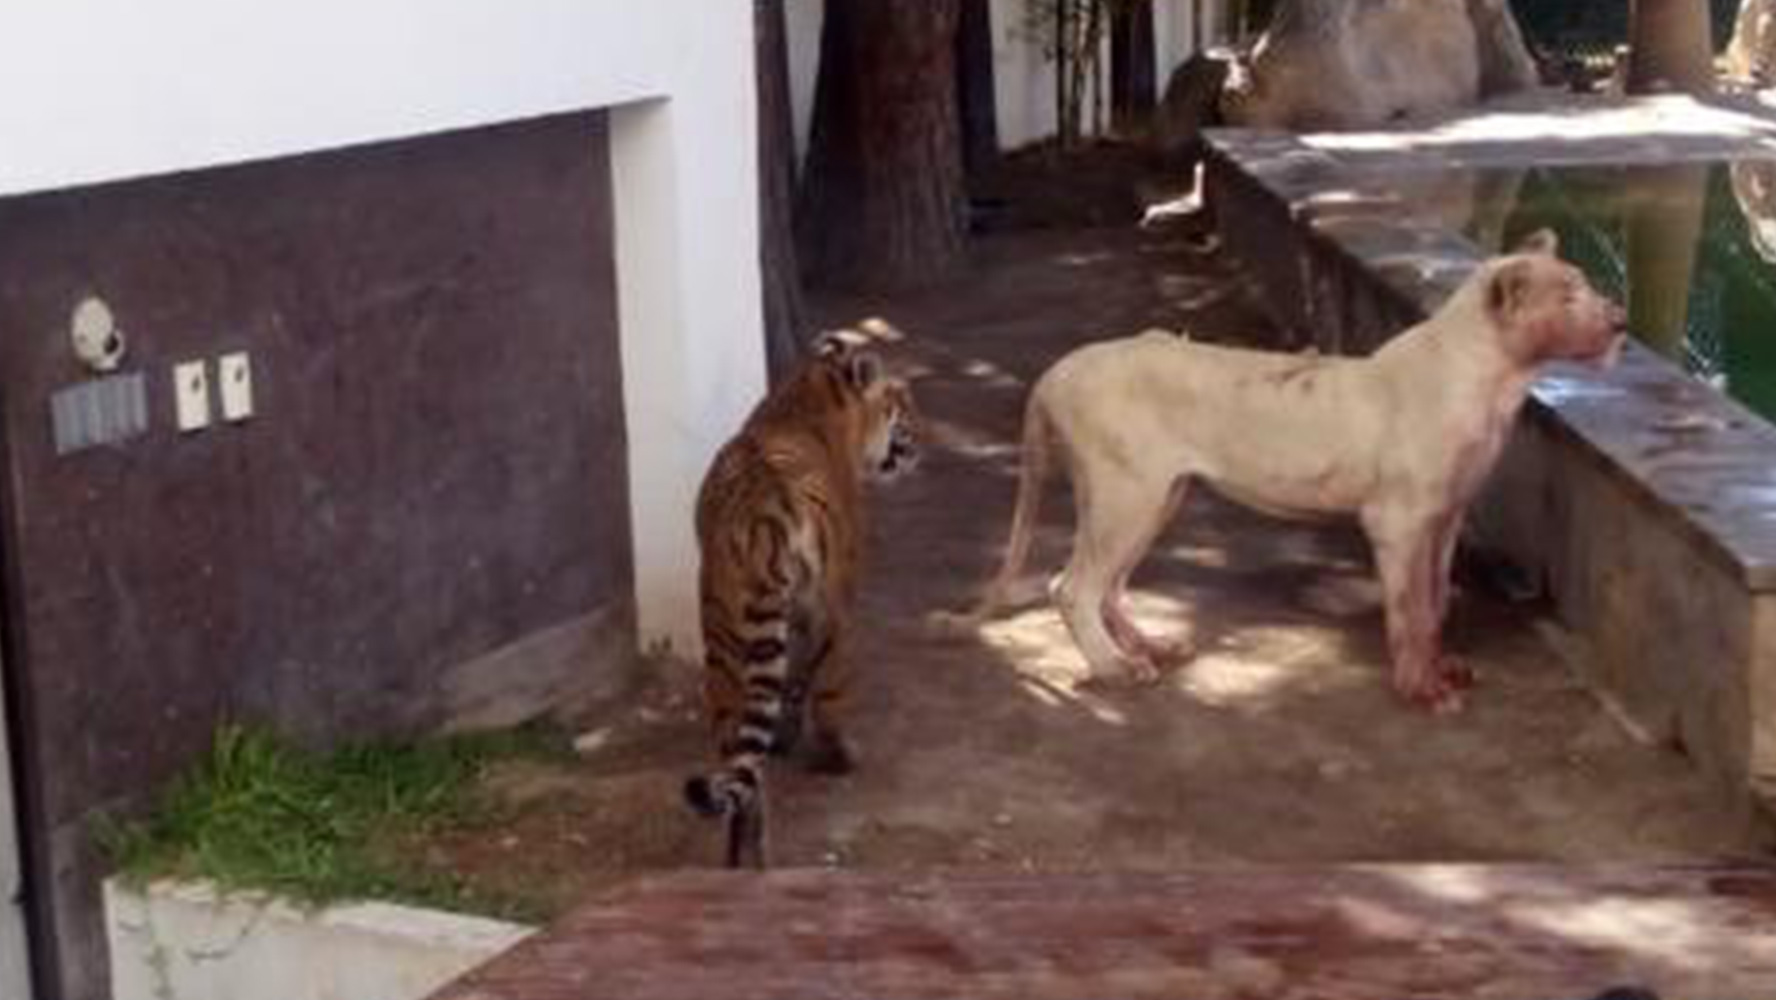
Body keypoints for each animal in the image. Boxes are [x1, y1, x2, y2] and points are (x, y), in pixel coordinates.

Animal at [681, 333, 923, 870]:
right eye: (902, 404)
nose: (918, 446)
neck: (814, 390)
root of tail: (762, 519)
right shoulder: (836, 603)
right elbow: (819, 680)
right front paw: (829, 752)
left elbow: (789, 683)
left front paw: (785, 737)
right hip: (821, 609)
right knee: (825, 686)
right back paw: (836, 758)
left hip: (723, 638)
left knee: (739, 761)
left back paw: (744, 856)